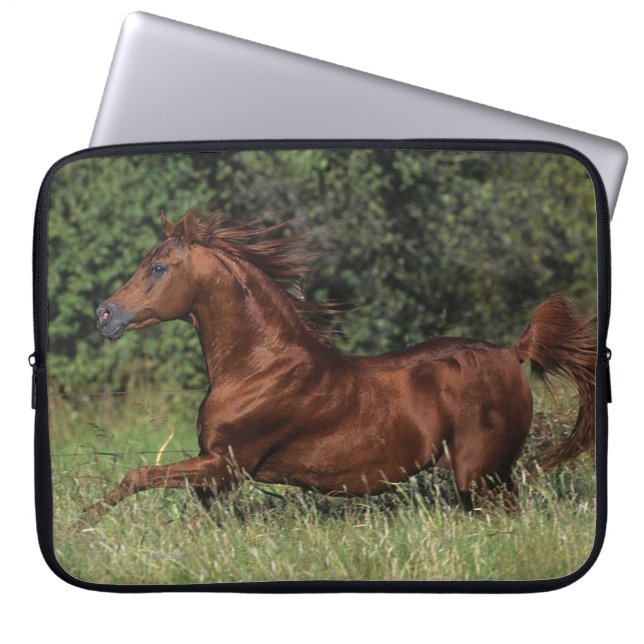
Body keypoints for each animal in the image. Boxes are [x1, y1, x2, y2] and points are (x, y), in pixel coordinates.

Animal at [83, 209, 596, 520]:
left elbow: (137, 476)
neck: (259, 368)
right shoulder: (218, 476)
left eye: (158, 268)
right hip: (491, 473)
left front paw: (85, 521)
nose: (104, 314)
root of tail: (511, 352)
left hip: (478, 472)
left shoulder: (226, 464)